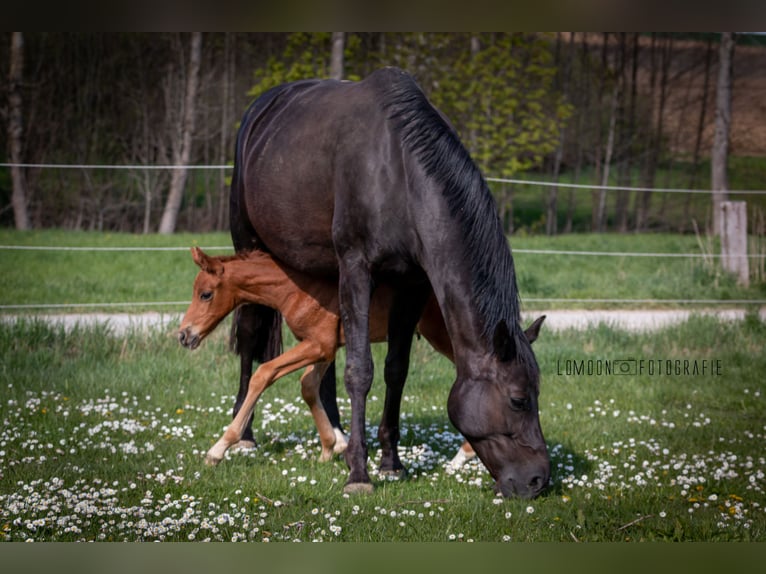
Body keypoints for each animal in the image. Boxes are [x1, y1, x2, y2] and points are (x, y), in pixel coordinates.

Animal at [177, 247, 546, 468]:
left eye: (205, 294)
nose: (183, 335)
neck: (297, 288)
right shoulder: (325, 346)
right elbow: (308, 386)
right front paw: (331, 447)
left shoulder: (317, 345)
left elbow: (263, 373)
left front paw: (218, 449)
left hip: (443, 335)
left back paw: (464, 454)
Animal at [229, 66, 549, 498]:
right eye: (517, 400)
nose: (538, 480)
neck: (398, 173)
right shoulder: (357, 268)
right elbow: (360, 370)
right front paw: (359, 474)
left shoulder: (412, 284)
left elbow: (396, 369)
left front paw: (390, 462)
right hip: (248, 246)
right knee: (250, 334)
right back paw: (245, 435)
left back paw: (338, 435)